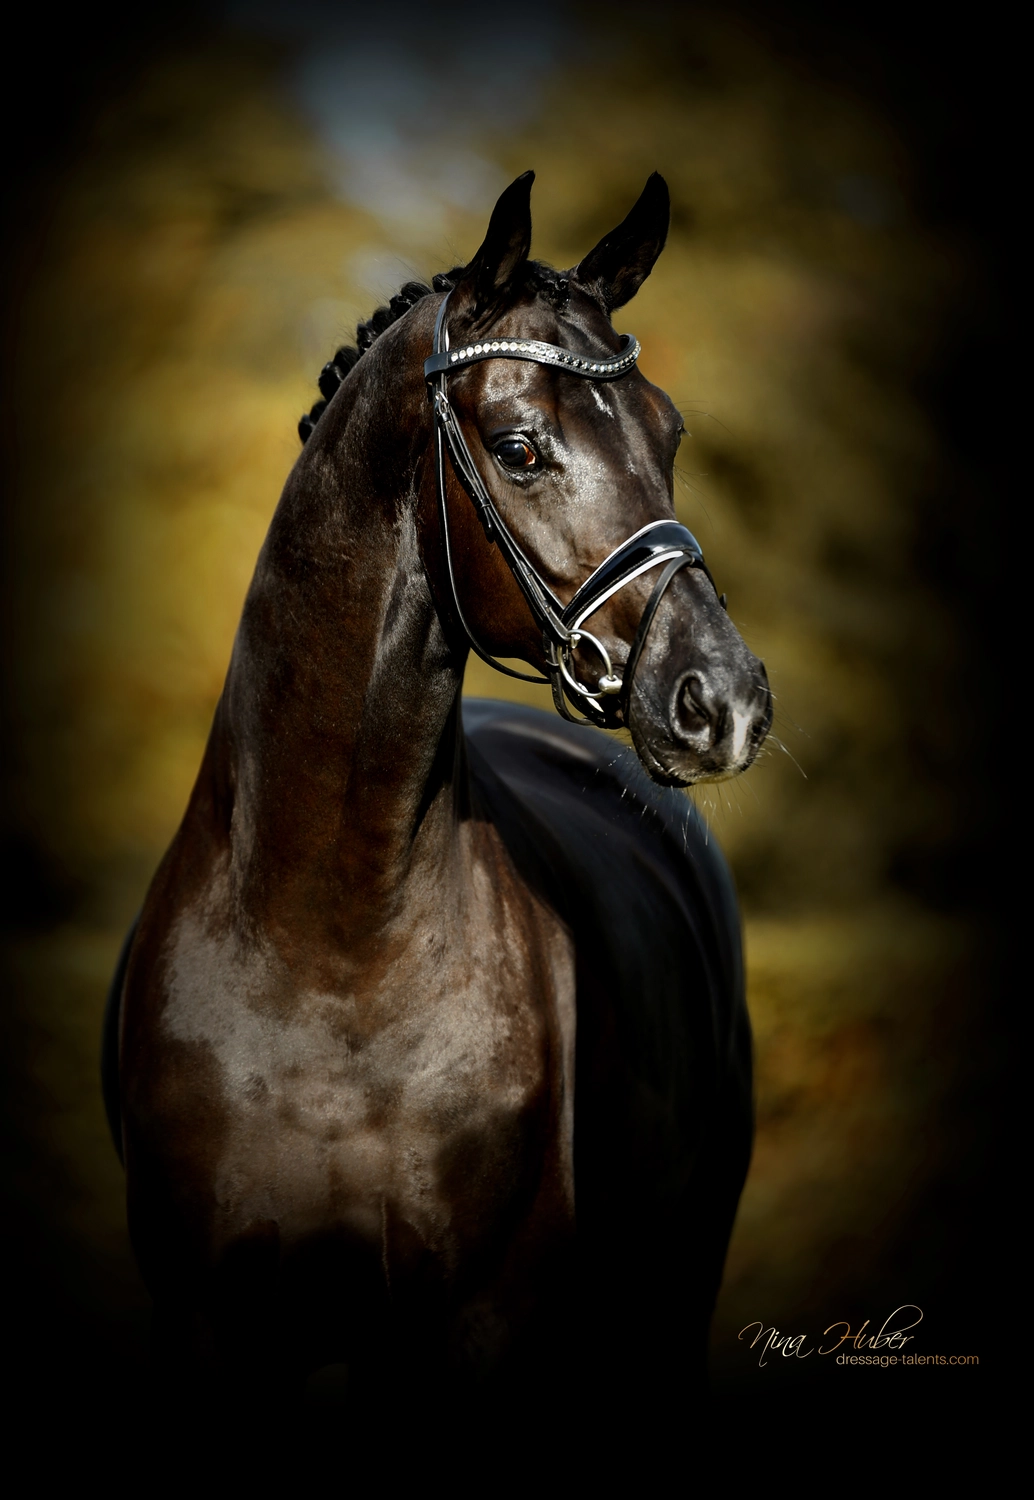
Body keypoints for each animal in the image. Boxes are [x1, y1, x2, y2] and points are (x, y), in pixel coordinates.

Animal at [103, 170, 772, 1426]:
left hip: (666, 1286)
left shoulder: (474, 1331)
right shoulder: (212, 1326)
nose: (725, 701)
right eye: (517, 446)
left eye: (668, 433)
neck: (321, 950)